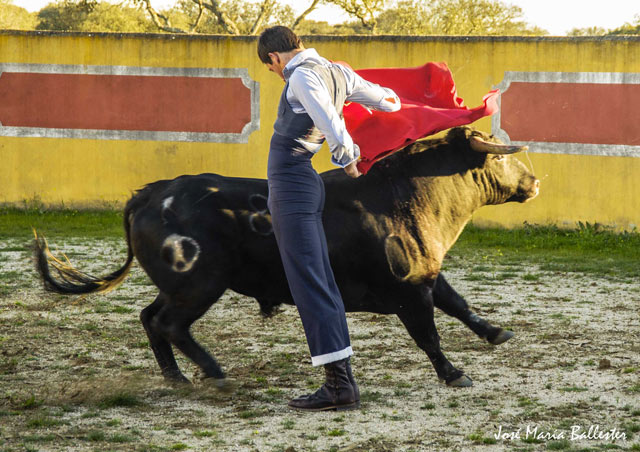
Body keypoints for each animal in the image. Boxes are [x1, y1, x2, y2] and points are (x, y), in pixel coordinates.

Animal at [35, 126, 540, 388]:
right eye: (499, 158)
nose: (535, 180)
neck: (404, 194)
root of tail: (151, 193)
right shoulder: (409, 291)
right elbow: (428, 335)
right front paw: (454, 374)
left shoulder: (428, 274)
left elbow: (459, 304)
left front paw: (497, 333)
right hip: (200, 284)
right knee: (169, 323)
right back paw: (213, 372)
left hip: (178, 286)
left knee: (149, 317)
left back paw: (177, 376)